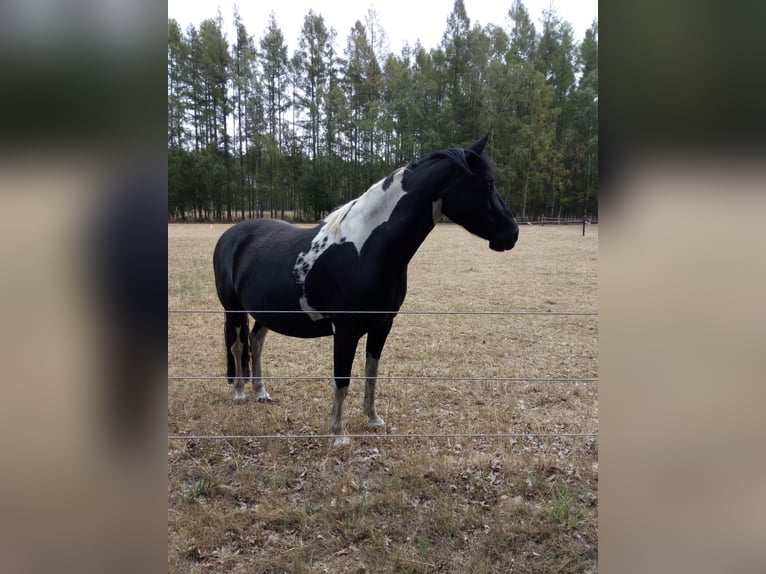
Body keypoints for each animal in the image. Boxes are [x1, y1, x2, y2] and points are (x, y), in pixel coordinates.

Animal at [213, 133, 519, 446]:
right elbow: (342, 379)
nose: (513, 233)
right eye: (487, 184)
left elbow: (371, 373)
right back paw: (240, 393)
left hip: (264, 313)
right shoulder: (345, 330)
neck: (367, 249)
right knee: (237, 345)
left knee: (256, 343)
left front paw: (373, 419)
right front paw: (339, 433)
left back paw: (261, 391)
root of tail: (231, 234)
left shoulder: (382, 325)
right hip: (233, 309)